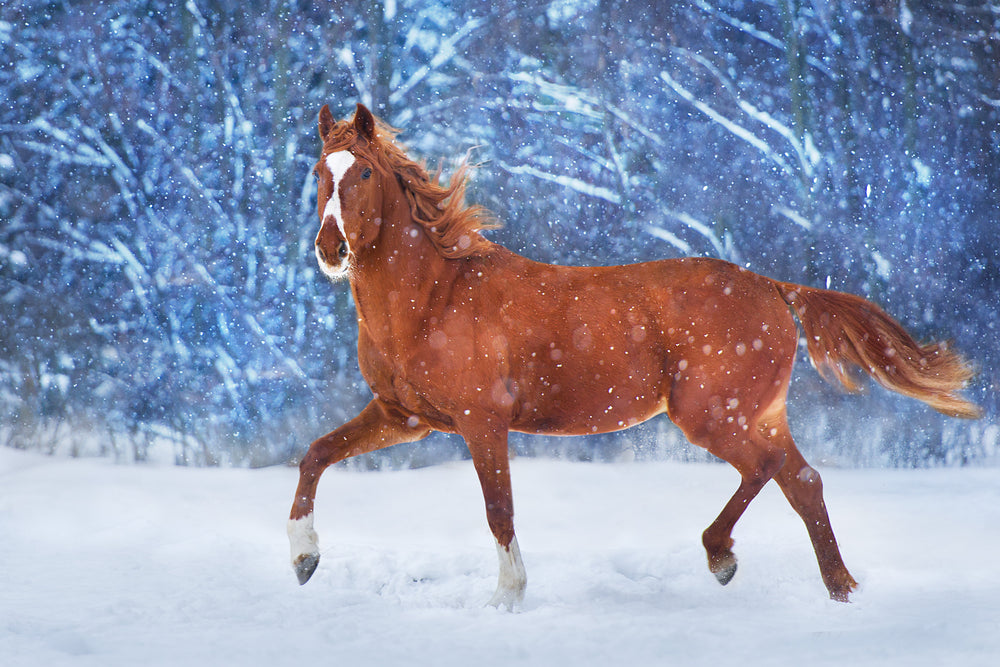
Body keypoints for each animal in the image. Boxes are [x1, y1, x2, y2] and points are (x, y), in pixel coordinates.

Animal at [286, 102, 980, 608]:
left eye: (364, 173)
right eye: (319, 173)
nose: (330, 249)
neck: (434, 297)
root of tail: (772, 288)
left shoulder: (482, 421)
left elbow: (499, 510)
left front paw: (508, 599)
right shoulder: (405, 417)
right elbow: (316, 453)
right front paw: (302, 557)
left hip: (710, 414)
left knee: (765, 471)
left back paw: (722, 555)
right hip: (756, 414)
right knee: (803, 481)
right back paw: (841, 591)